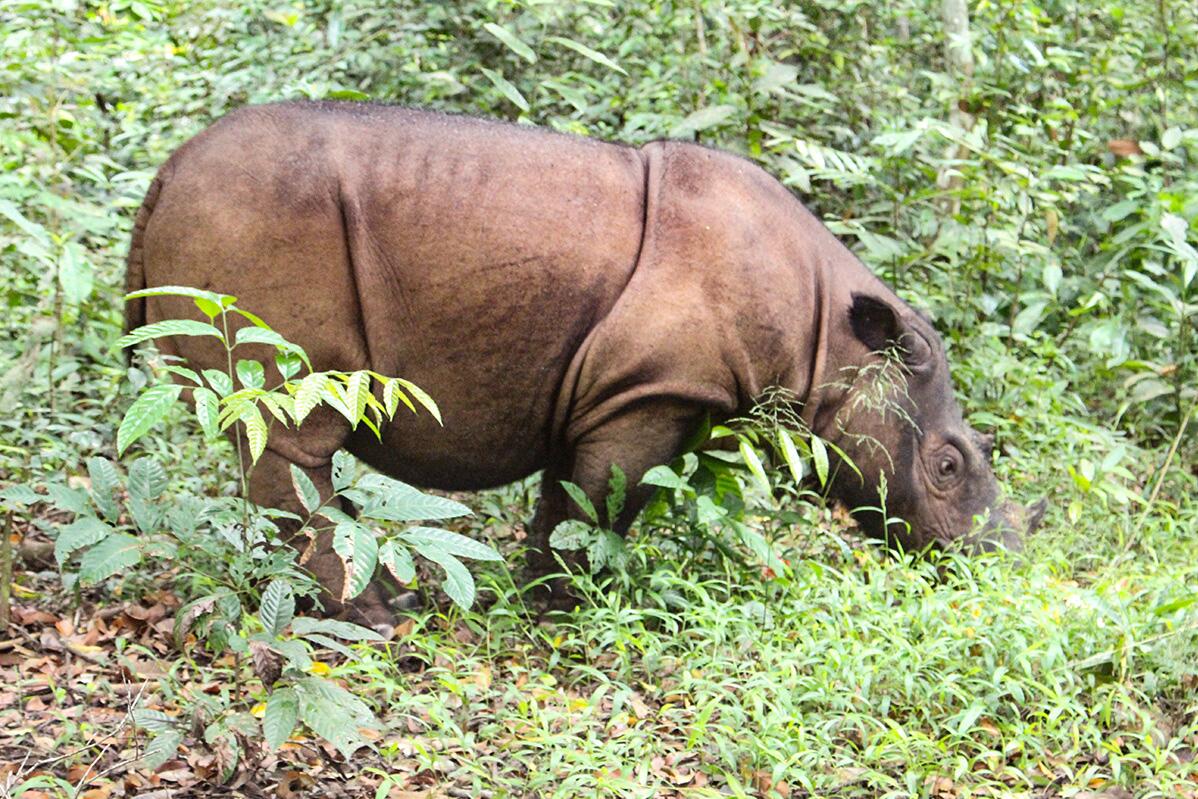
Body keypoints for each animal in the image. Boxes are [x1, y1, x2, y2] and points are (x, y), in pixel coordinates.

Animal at [123, 101, 1039, 622]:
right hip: (257, 215)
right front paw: (568, 614)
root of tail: (165, 174)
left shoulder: (612, 390)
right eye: (949, 465)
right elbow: (606, 504)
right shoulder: (649, 389)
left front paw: (538, 600)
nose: (996, 563)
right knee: (289, 426)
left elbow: (567, 497)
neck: (834, 336)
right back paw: (381, 621)